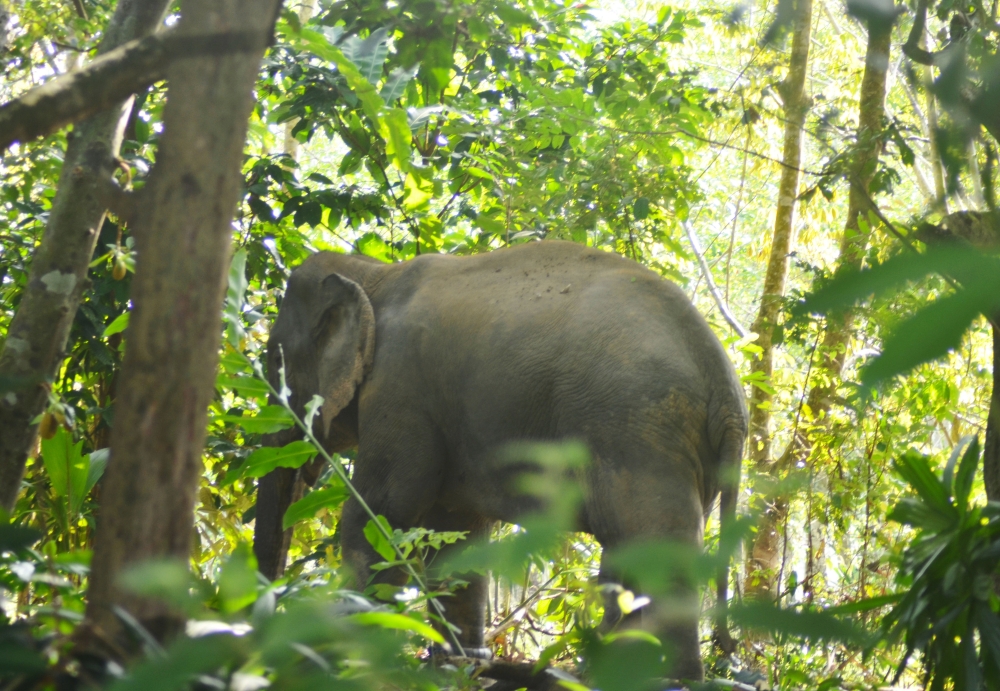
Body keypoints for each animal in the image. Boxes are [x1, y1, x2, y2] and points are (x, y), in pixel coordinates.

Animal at [252, 240, 747, 681]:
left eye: (273, 363)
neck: (374, 274)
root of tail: (725, 384)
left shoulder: (400, 389)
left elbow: (381, 512)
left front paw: (337, 649)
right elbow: (456, 533)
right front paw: (461, 664)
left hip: (639, 429)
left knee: (657, 551)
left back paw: (673, 680)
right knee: (630, 557)